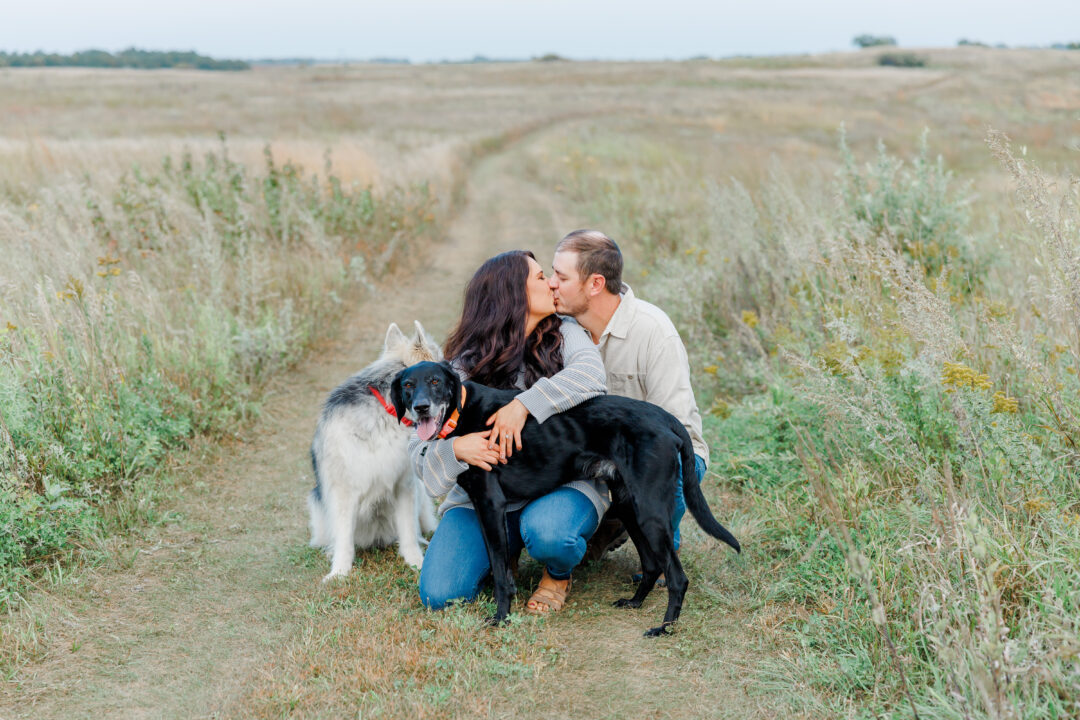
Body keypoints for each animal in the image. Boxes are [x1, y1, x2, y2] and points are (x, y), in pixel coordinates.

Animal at [306, 321, 440, 578]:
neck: (386, 409)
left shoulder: (404, 486)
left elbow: (408, 531)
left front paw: (416, 562)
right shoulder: (344, 491)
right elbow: (344, 538)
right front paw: (339, 572)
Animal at [390, 360, 743, 634]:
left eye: (435, 382)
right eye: (408, 385)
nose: (421, 407)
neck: (461, 412)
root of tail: (666, 418)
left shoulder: (490, 505)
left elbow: (501, 572)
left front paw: (501, 618)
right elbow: (501, 566)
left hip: (650, 511)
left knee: (677, 577)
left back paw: (664, 628)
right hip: (630, 506)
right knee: (653, 564)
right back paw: (635, 602)